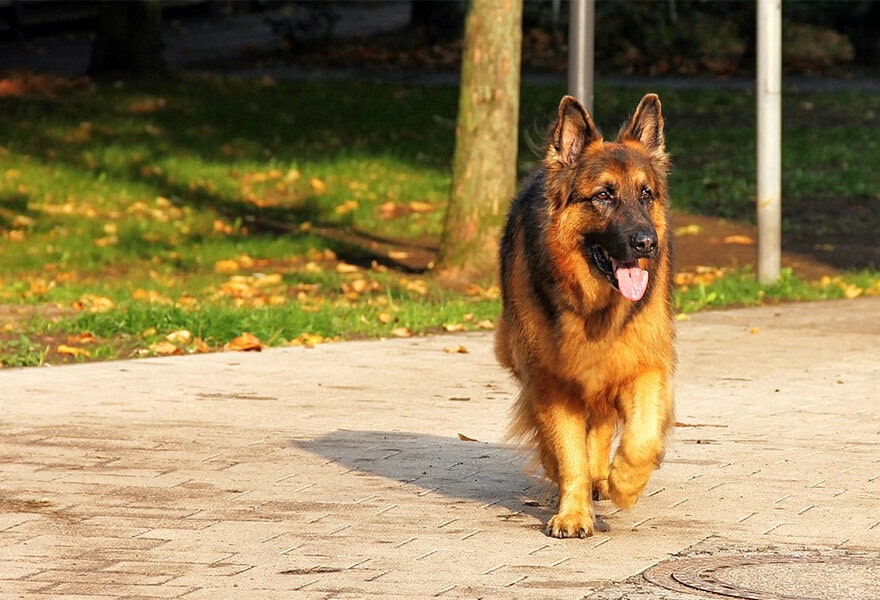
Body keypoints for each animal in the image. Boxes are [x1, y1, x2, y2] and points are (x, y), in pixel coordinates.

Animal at [496, 94, 672, 540]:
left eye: (646, 194)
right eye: (604, 195)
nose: (647, 243)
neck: (594, 307)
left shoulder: (644, 364)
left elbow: (641, 440)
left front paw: (623, 482)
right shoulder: (551, 380)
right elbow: (568, 451)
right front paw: (573, 513)